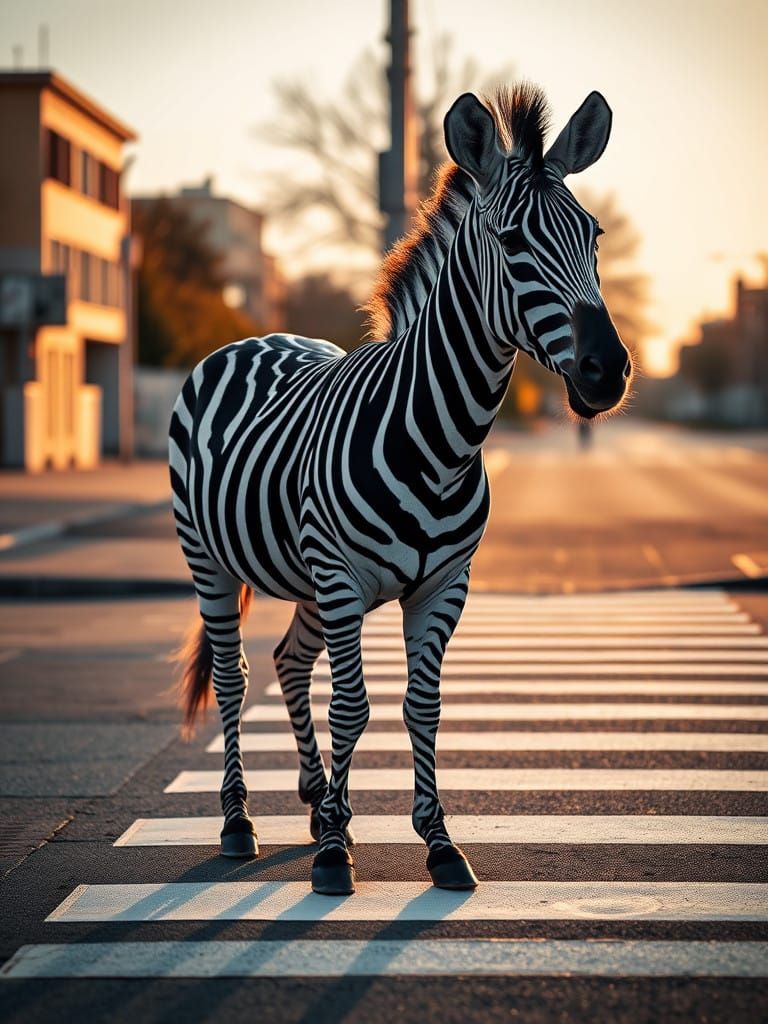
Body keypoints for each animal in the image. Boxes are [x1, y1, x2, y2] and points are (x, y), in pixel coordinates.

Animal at [170, 83, 632, 896]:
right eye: (512, 241)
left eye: (594, 235)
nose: (607, 373)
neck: (440, 444)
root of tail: (251, 338)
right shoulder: (343, 577)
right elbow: (353, 708)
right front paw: (333, 854)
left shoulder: (444, 584)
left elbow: (424, 707)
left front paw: (436, 843)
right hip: (212, 560)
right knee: (233, 677)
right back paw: (238, 822)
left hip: (306, 578)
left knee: (289, 660)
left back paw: (315, 798)